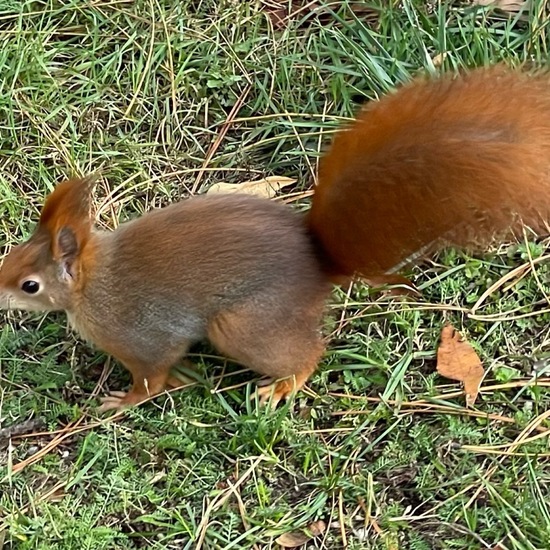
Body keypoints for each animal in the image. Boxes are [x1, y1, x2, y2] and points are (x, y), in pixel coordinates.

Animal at [1, 66, 550, 410]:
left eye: (29, 285)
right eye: (10, 256)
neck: (92, 286)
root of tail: (319, 263)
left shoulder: (143, 336)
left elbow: (151, 376)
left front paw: (125, 399)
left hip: (241, 325)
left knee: (309, 353)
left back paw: (284, 386)